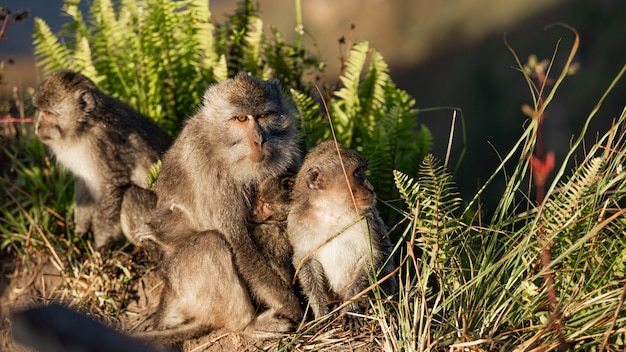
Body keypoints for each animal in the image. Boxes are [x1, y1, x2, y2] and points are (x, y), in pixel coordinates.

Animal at [31, 70, 171, 248]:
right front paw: (80, 233)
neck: (83, 128)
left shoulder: (103, 145)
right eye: (41, 111)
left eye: (48, 113)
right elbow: (83, 185)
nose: (38, 127)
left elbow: (111, 187)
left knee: (131, 196)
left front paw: (100, 246)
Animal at [137, 72, 302, 340]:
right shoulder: (210, 173)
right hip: (183, 279)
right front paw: (296, 309)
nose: (259, 140)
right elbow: (238, 242)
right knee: (211, 244)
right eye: (241, 118)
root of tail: (168, 289)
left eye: (263, 116)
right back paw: (248, 324)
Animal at [286, 140, 394, 332]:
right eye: (357, 173)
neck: (331, 210)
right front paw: (321, 313)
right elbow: (305, 261)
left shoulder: (366, 218)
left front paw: (351, 308)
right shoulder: (295, 222)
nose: (371, 188)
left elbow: (372, 255)